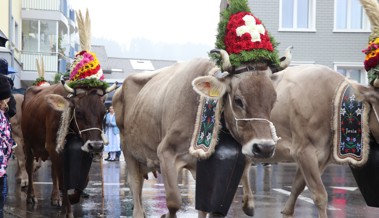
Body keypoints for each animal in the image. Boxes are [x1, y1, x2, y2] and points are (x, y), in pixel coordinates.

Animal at [21, 81, 116, 216]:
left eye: (103, 113)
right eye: (79, 112)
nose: (97, 145)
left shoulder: (83, 149)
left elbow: (83, 180)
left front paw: (70, 199)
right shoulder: (53, 146)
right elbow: (63, 180)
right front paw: (67, 210)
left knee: (53, 172)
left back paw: (55, 197)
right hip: (28, 144)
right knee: (29, 168)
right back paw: (31, 196)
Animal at [113, 55, 288, 218]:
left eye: (274, 100)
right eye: (238, 100)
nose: (265, 148)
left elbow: (205, 208)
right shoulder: (165, 152)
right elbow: (174, 202)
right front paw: (165, 214)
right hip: (127, 149)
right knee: (135, 184)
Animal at [240, 64, 379, 218]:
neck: (330, 100)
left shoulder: (322, 156)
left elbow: (298, 186)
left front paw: (287, 212)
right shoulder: (303, 150)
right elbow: (320, 195)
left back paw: (247, 204)